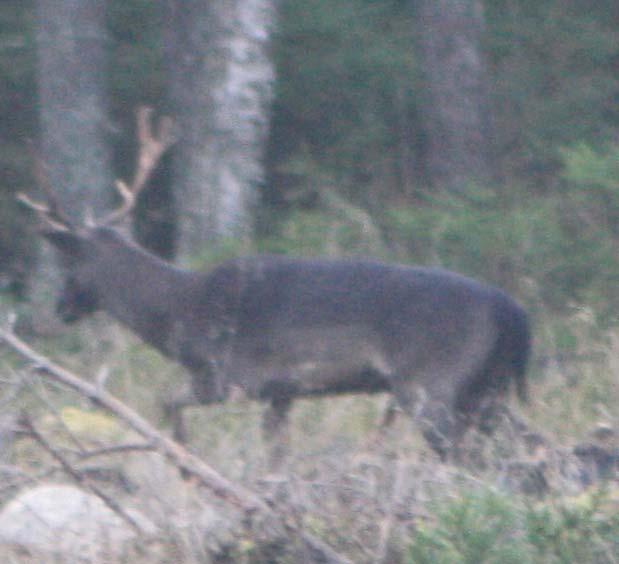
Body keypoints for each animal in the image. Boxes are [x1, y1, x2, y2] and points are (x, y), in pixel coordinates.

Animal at [21, 106, 532, 462]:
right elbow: (276, 455)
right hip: (485, 387)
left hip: (434, 384)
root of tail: (513, 313)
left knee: (473, 459)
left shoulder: (229, 376)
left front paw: (187, 460)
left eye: (68, 262)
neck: (181, 318)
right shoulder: (281, 392)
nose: (59, 306)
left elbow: (167, 401)